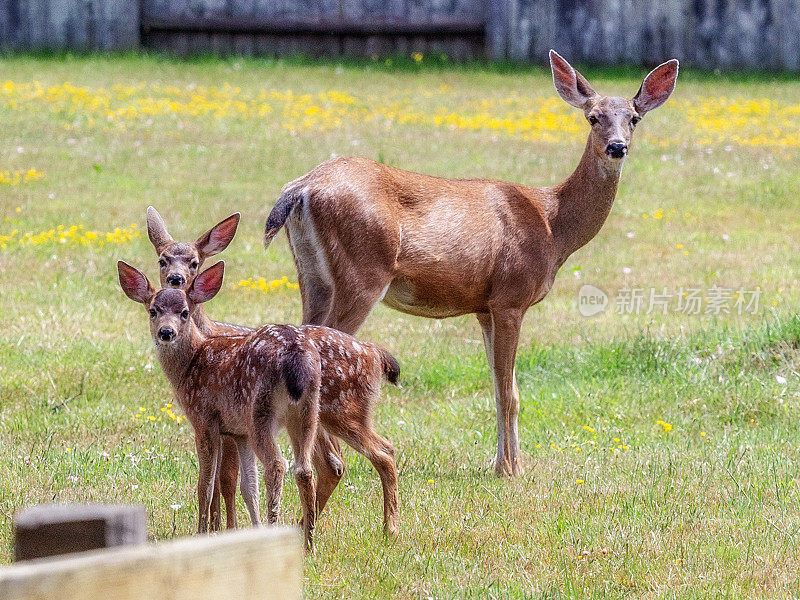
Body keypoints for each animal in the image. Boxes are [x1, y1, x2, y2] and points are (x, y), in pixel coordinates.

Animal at [145, 209, 398, 528]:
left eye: (194, 261)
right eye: (162, 259)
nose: (176, 279)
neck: (207, 337)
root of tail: (375, 354)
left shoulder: (223, 420)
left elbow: (225, 479)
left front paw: (224, 528)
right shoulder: (229, 425)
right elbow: (224, 482)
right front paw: (220, 527)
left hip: (342, 410)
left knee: (378, 454)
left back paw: (388, 529)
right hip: (315, 418)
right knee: (332, 465)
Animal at [266, 49, 680, 476]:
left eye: (634, 118)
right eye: (593, 117)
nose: (617, 147)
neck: (553, 225)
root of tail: (301, 189)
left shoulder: (484, 306)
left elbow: (501, 386)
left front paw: (501, 463)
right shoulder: (511, 297)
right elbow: (509, 391)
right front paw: (511, 470)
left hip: (312, 275)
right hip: (363, 271)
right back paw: (332, 460)